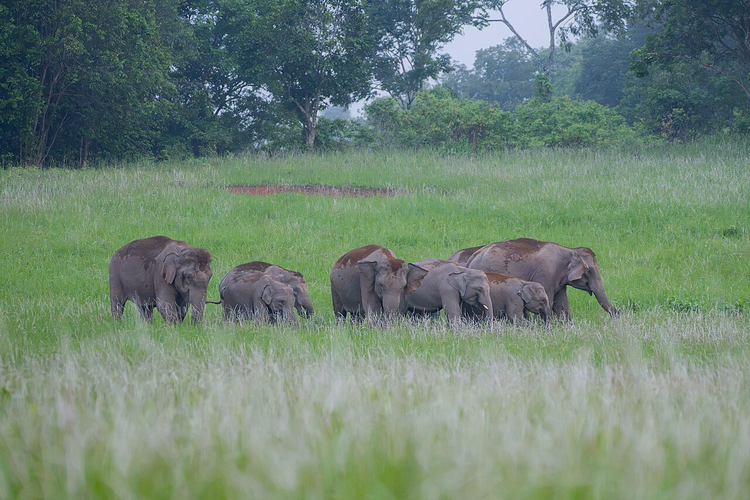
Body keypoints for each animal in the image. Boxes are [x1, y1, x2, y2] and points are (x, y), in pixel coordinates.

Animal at [465, 238, 618, 320]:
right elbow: (549, 301)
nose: (619, 313)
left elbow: (562, 305)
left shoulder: (559, 282)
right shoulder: (546, 275)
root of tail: (473, 256)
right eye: (589, 271)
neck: (569, 250)